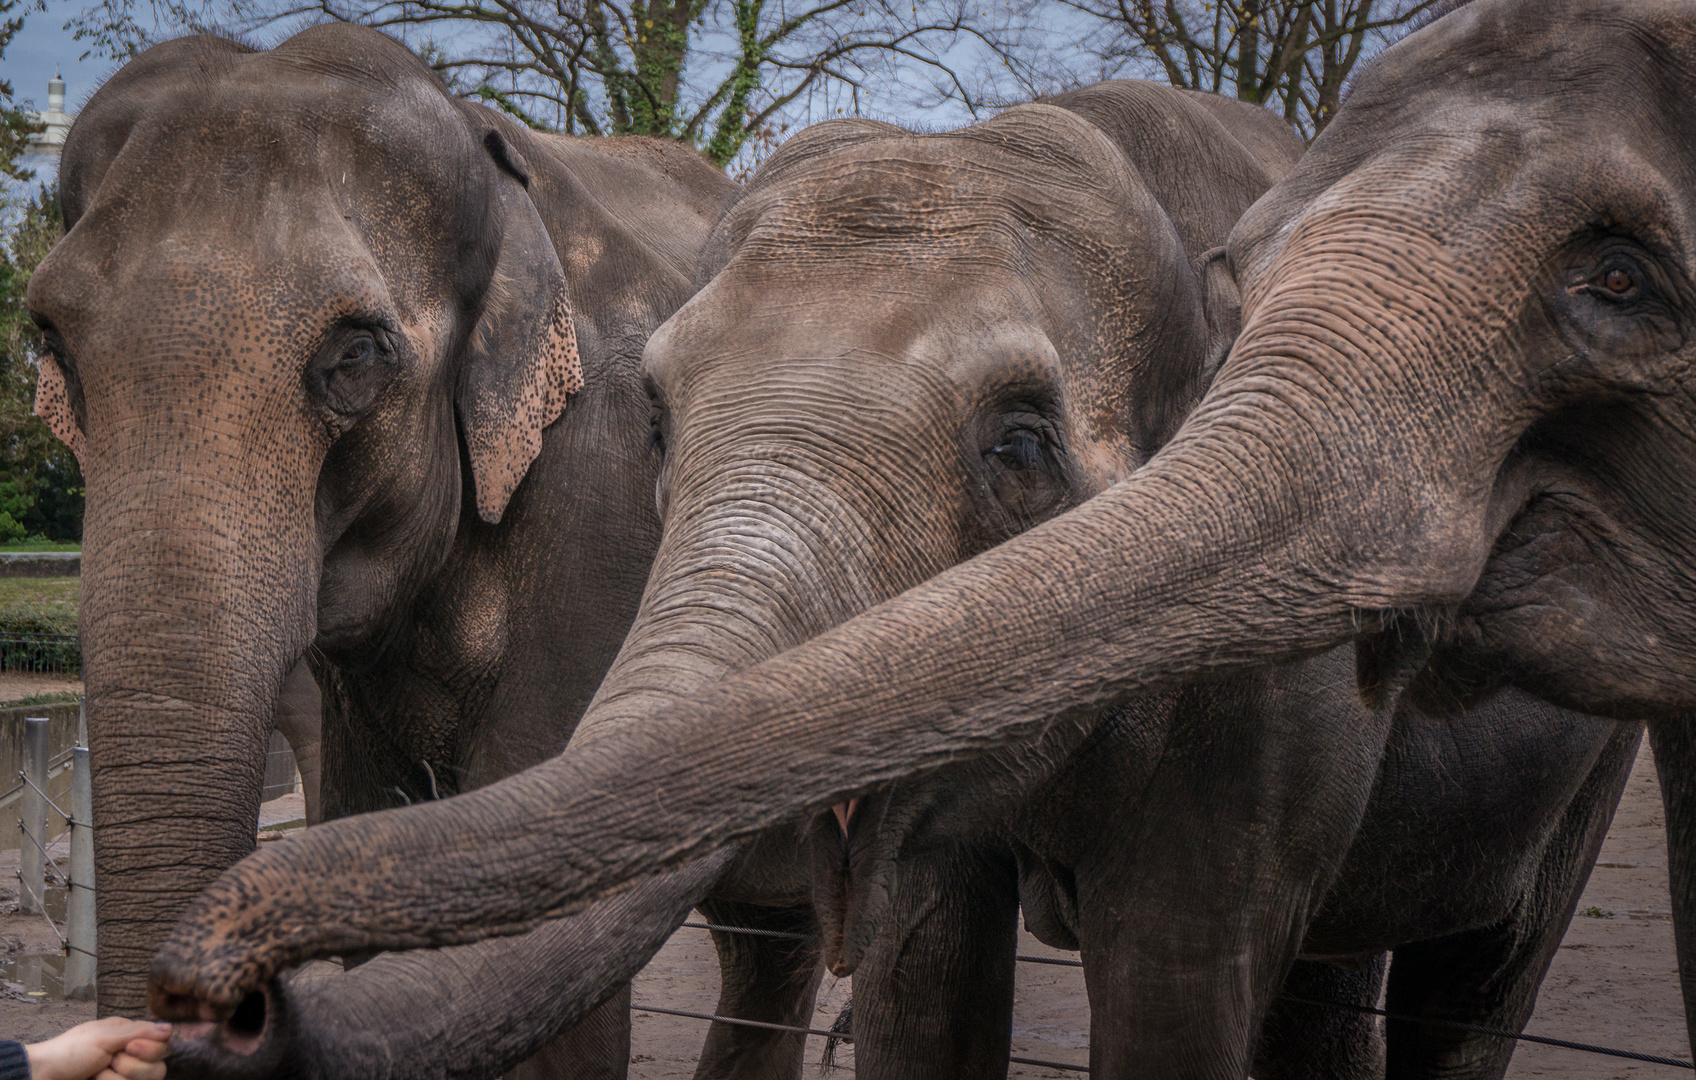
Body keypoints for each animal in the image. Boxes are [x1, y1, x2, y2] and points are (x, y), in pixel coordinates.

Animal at [149, 0, 1696, 1064]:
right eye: (654, 419)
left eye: (1017, 441)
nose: (221, 998)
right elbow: (924, 983)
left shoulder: (1264, 706)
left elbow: (1177, 985)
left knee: (1472, 985)